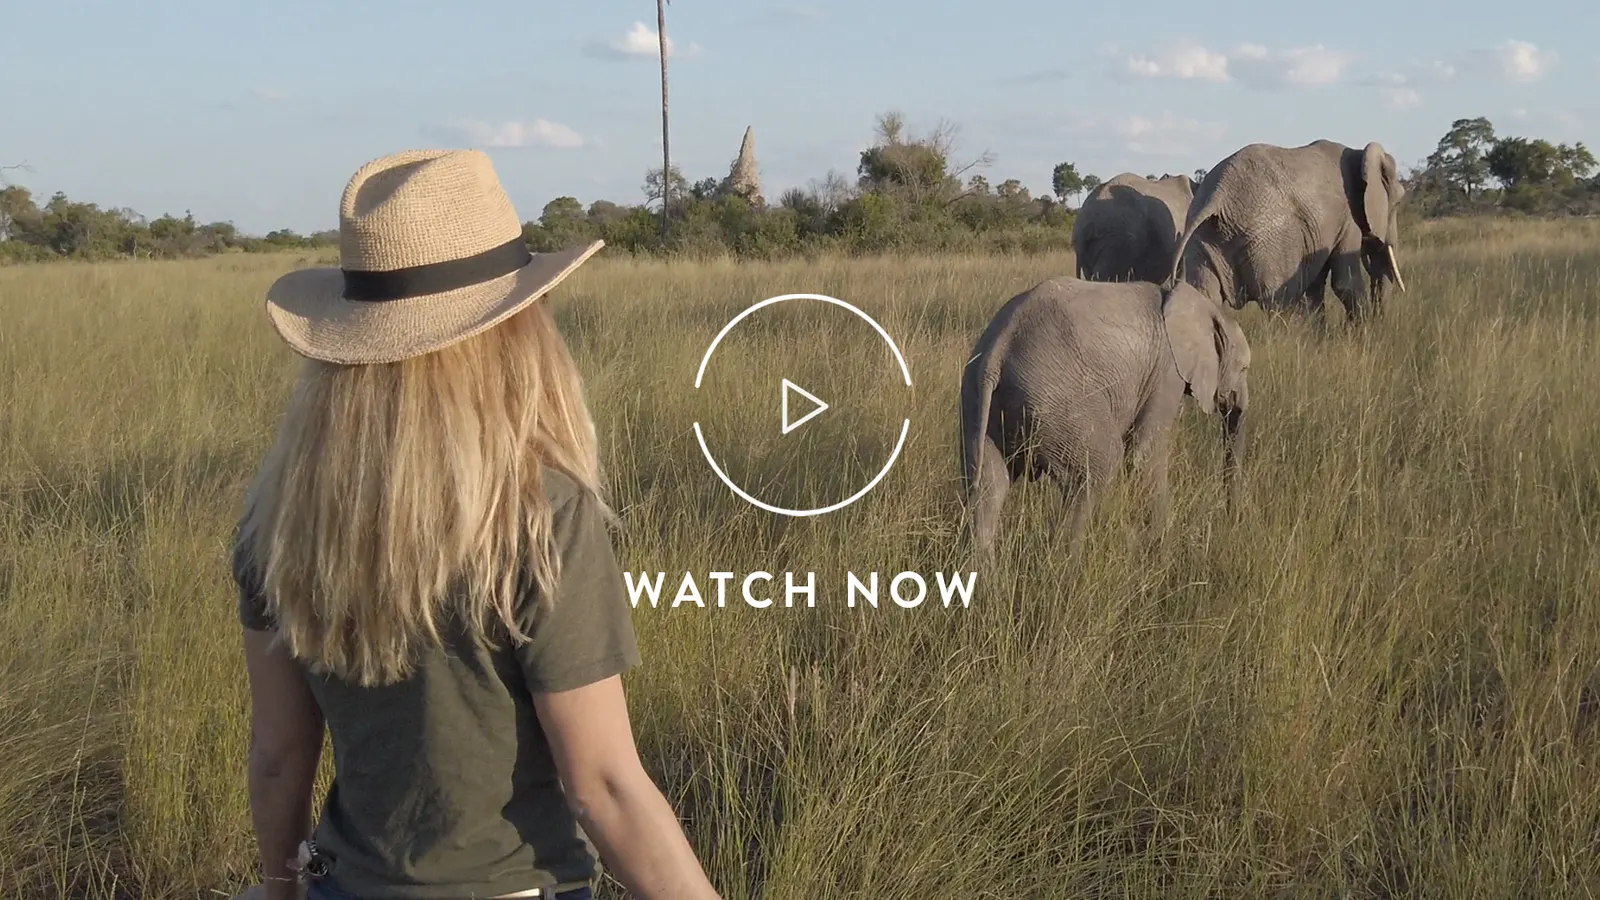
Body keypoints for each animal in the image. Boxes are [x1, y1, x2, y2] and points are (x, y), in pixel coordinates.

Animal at [959, 276, 1251, 561]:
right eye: (1244, 368)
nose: (1232, 520)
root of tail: (996, 353)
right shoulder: (1167, 371)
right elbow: (1144, 455)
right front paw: (1164, 553)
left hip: (978, 400)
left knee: (989, 486)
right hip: (1058, 402)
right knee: (1094, 471)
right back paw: (1066, 566)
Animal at [1167, 140, 1407, 325]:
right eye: (1398, 202)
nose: (1380, 322)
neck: (1359, 153)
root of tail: (1218, 194)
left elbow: (1315, 287)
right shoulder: (1347, 219)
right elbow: (1344, 282)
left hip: (1203, 239)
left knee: (1203, 294)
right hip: (1270, 241)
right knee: (1279, 300)